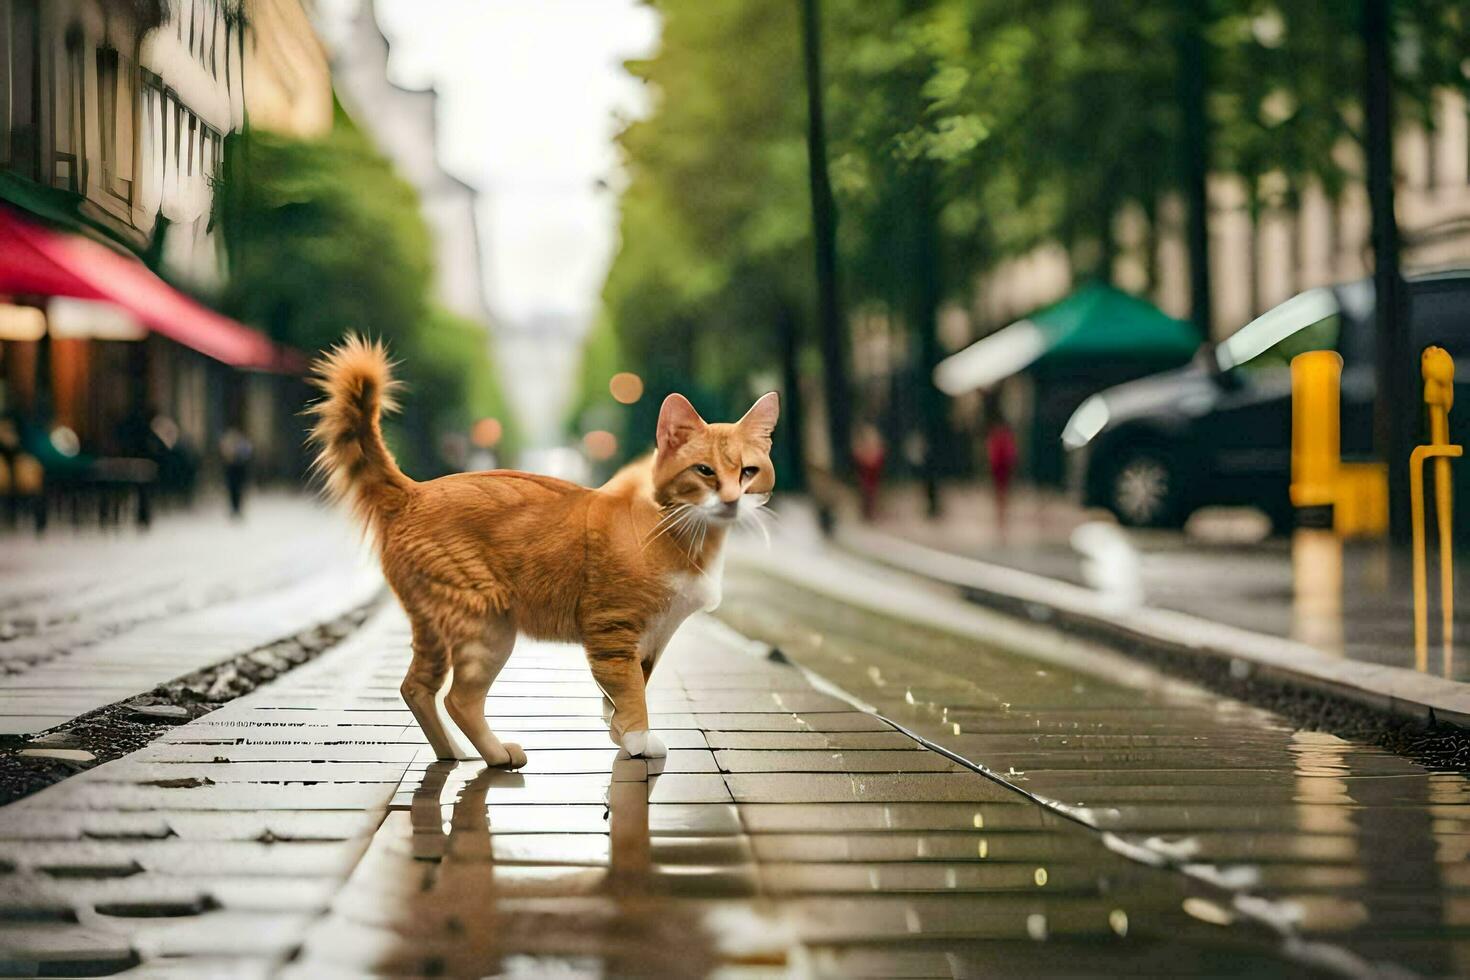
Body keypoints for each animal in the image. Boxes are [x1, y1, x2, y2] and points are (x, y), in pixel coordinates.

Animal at [311, 337, 782, 764]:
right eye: (704, 471)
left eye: (748, 472)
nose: (731, 500)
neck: (686, 533)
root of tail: (414, 491)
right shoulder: (613, 632)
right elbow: (632, 694)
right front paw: (636, 740)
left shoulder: (650, 641)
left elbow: (622, 694)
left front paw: (620, 734)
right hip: (487, 626)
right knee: (459, 699)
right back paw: (497, 755)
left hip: (435, 625)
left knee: (415, 687)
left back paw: (453, 754)